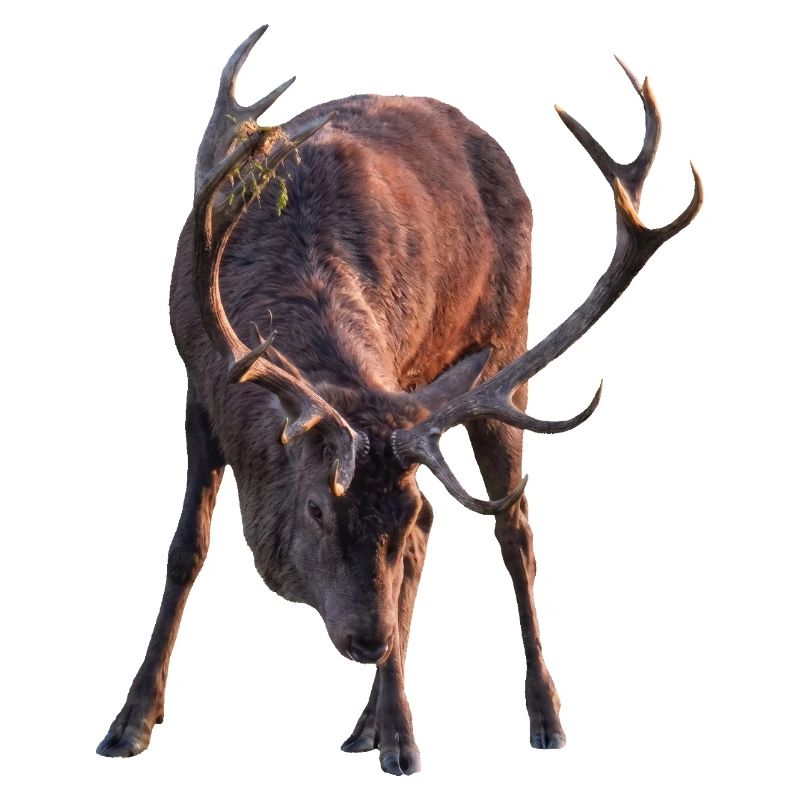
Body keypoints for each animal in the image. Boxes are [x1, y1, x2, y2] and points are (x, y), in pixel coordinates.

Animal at [96, 25, 701, 775]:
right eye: (317, 507)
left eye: (395, 510)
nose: (371, 640)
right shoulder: (198, 388)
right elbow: (187, 548)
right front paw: (130, 722)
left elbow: (422, 542)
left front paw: (405, 737)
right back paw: (369, 723)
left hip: (506, 348)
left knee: (513, 531)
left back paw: (535, 715)